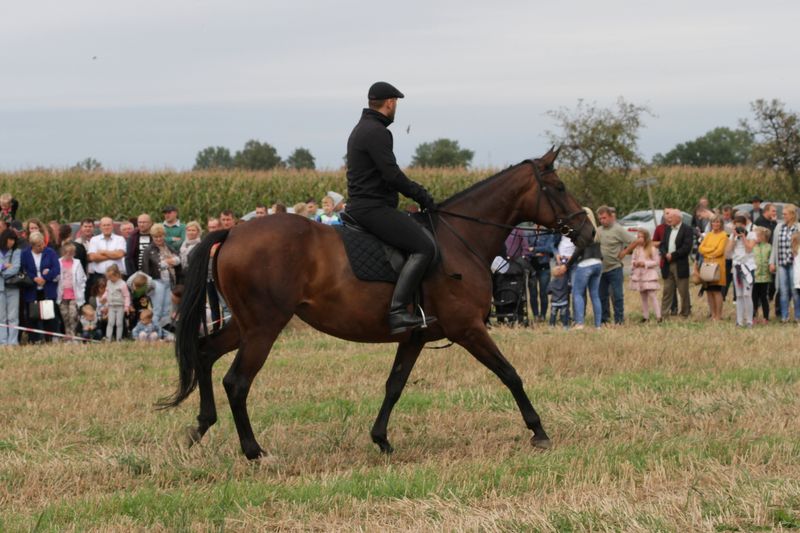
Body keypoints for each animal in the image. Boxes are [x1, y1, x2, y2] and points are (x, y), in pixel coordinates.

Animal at [159, 149, 592, 458]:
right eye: (557, 186)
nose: (586, 230)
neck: (460, 238)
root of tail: (232, 233)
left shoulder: (415, 337)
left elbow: (394, 385)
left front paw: (381, 439)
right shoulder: (468, 328)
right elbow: (510, 374)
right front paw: (539, 431)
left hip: (247, 325)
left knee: (204, 352)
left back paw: (200, 427)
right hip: (264, 327)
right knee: (237, 381)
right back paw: (253, 451)